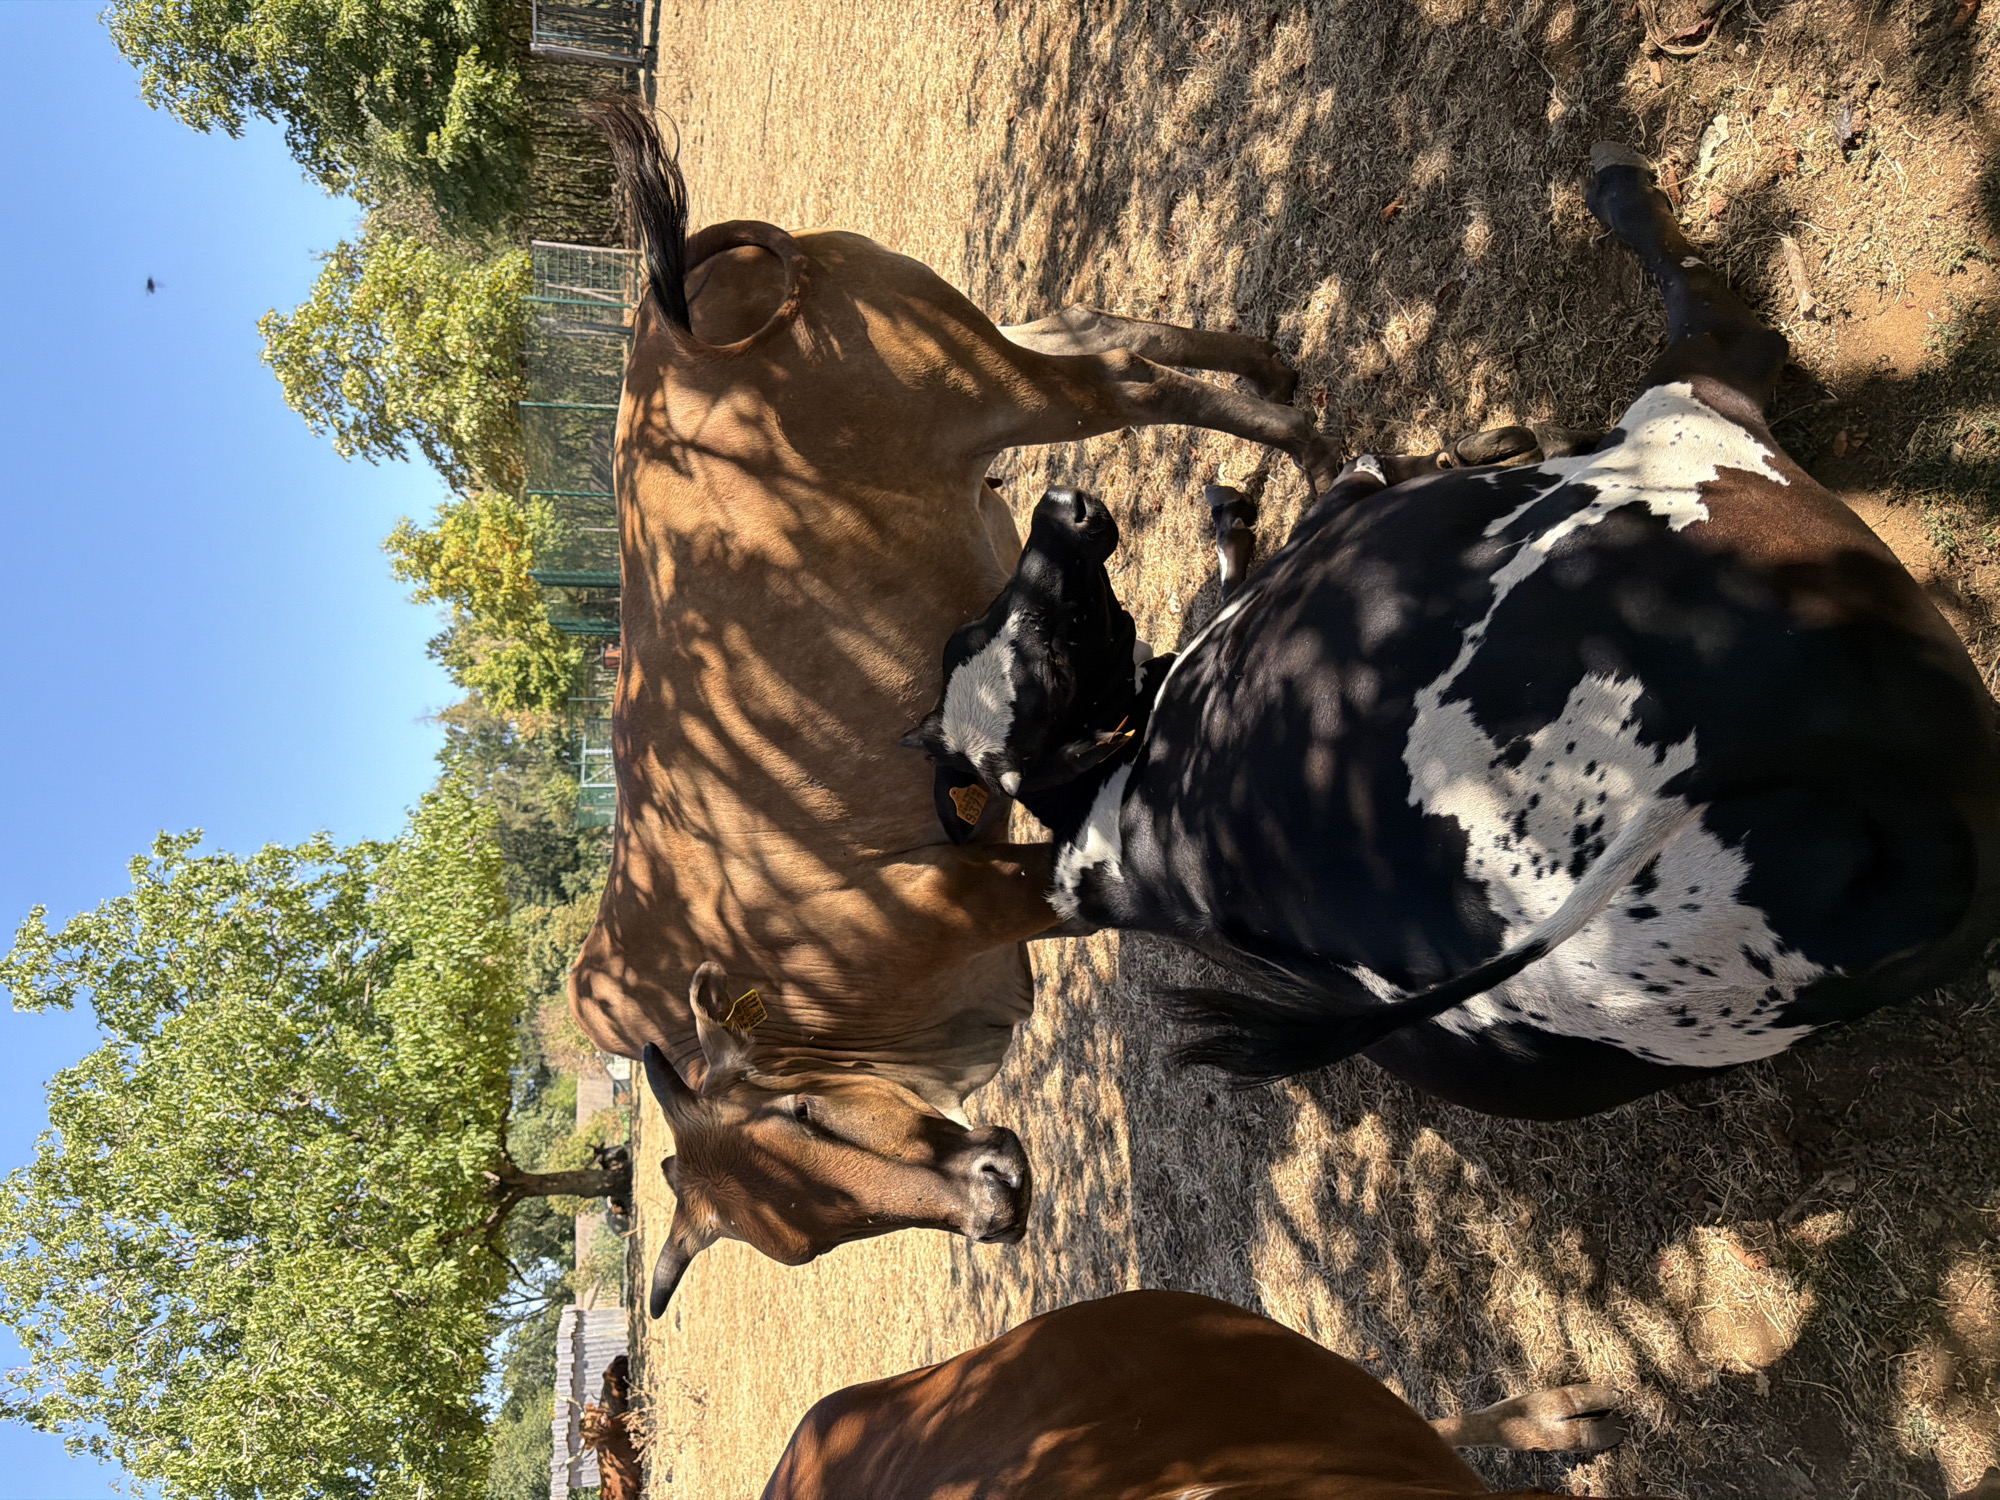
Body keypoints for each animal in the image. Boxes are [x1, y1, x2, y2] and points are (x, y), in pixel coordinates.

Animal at [566, 97, 1341, 1312]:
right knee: (1096, 322)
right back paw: (1273, 369)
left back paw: (1314, 447)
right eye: (811, 1238)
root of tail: (662, 327)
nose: (994, 1201)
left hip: (1003, 392)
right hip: (984, 341)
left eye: (804, 1113)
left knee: (1125, 377)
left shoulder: (983, 888)